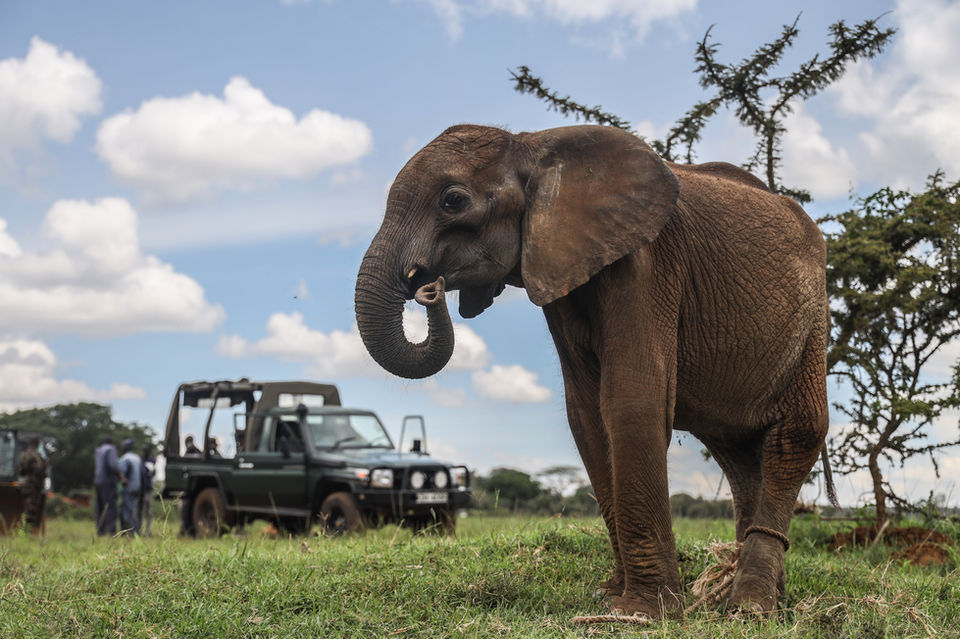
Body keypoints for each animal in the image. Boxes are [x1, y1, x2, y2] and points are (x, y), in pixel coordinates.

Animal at [354, 124, 829, 618]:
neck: (534, 146)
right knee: (736, 452)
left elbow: (629, 399)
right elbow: (585, 414)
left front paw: (642, 612)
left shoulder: (647, 265)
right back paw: (758, 597)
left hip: (813, 317)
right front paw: (612, 595)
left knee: (796, 433)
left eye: (453, 201)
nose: (429, 288)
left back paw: (750, 606)